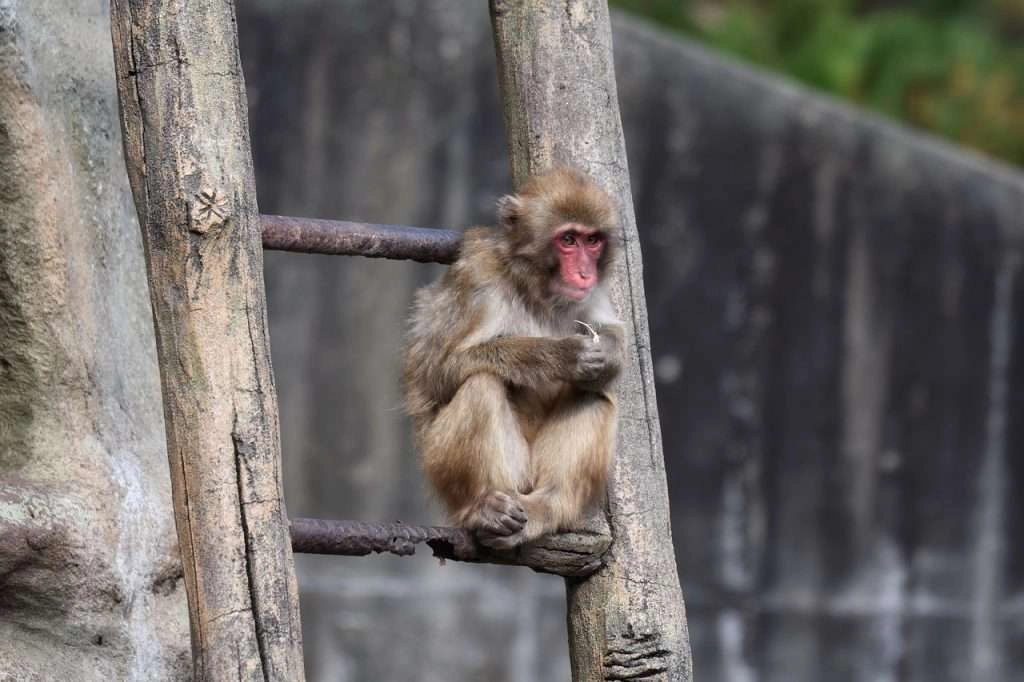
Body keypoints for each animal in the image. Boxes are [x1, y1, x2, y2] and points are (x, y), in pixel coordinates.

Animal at [399, 166, 622, 548]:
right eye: (568, 240)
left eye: (593, 240)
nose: (585, 273)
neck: (535, 288)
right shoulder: (477, 279)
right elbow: (438, 371)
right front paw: (564, 355)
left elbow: (614, 335)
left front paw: (605, 356)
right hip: (444, 466)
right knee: (482, 384)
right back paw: (484, 509)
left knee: (594, 395)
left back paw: (547, 505)